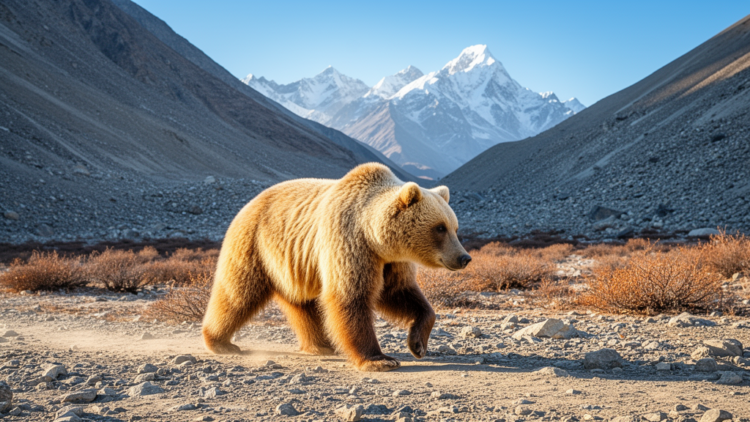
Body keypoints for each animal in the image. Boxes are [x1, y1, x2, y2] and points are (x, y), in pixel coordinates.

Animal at [202, 162, 471, 371]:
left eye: (455, 227)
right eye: (439, 228)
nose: (464, 257)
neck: (376, 238)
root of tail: (248, 203)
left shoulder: (391, 261)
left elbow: (400, 293)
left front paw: (417, 345)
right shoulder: (350, 241)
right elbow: (351, 297)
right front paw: (380, 359)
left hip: (295, 265)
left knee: (303, 304)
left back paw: (321, 344)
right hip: (254, 244)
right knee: (238, 293)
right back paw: (220, 342)